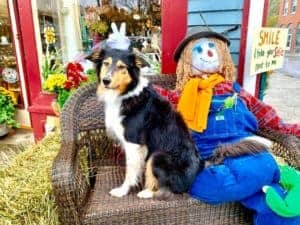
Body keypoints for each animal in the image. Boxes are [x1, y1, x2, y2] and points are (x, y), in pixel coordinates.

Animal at [86, 48, 204, 199]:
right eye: (106, 63)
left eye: (121, 67)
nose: (105, 81)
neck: (126, 94)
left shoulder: (133, 142)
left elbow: (130, 171)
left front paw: (123, 190)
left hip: (157, 155)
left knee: (168, 189)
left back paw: (147, 192)